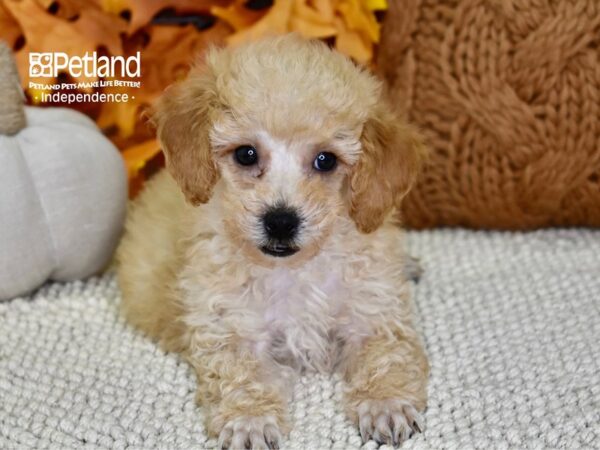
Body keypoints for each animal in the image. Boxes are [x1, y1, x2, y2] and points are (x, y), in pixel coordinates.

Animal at [117, 35, 426, 450]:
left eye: (326, 160)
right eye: (246, 154)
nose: (281, 221)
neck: (293, 270)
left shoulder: (372, 310)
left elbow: (387, 354)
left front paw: (385, 403)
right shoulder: (227, 324)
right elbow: (240, 373)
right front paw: (250, 420)